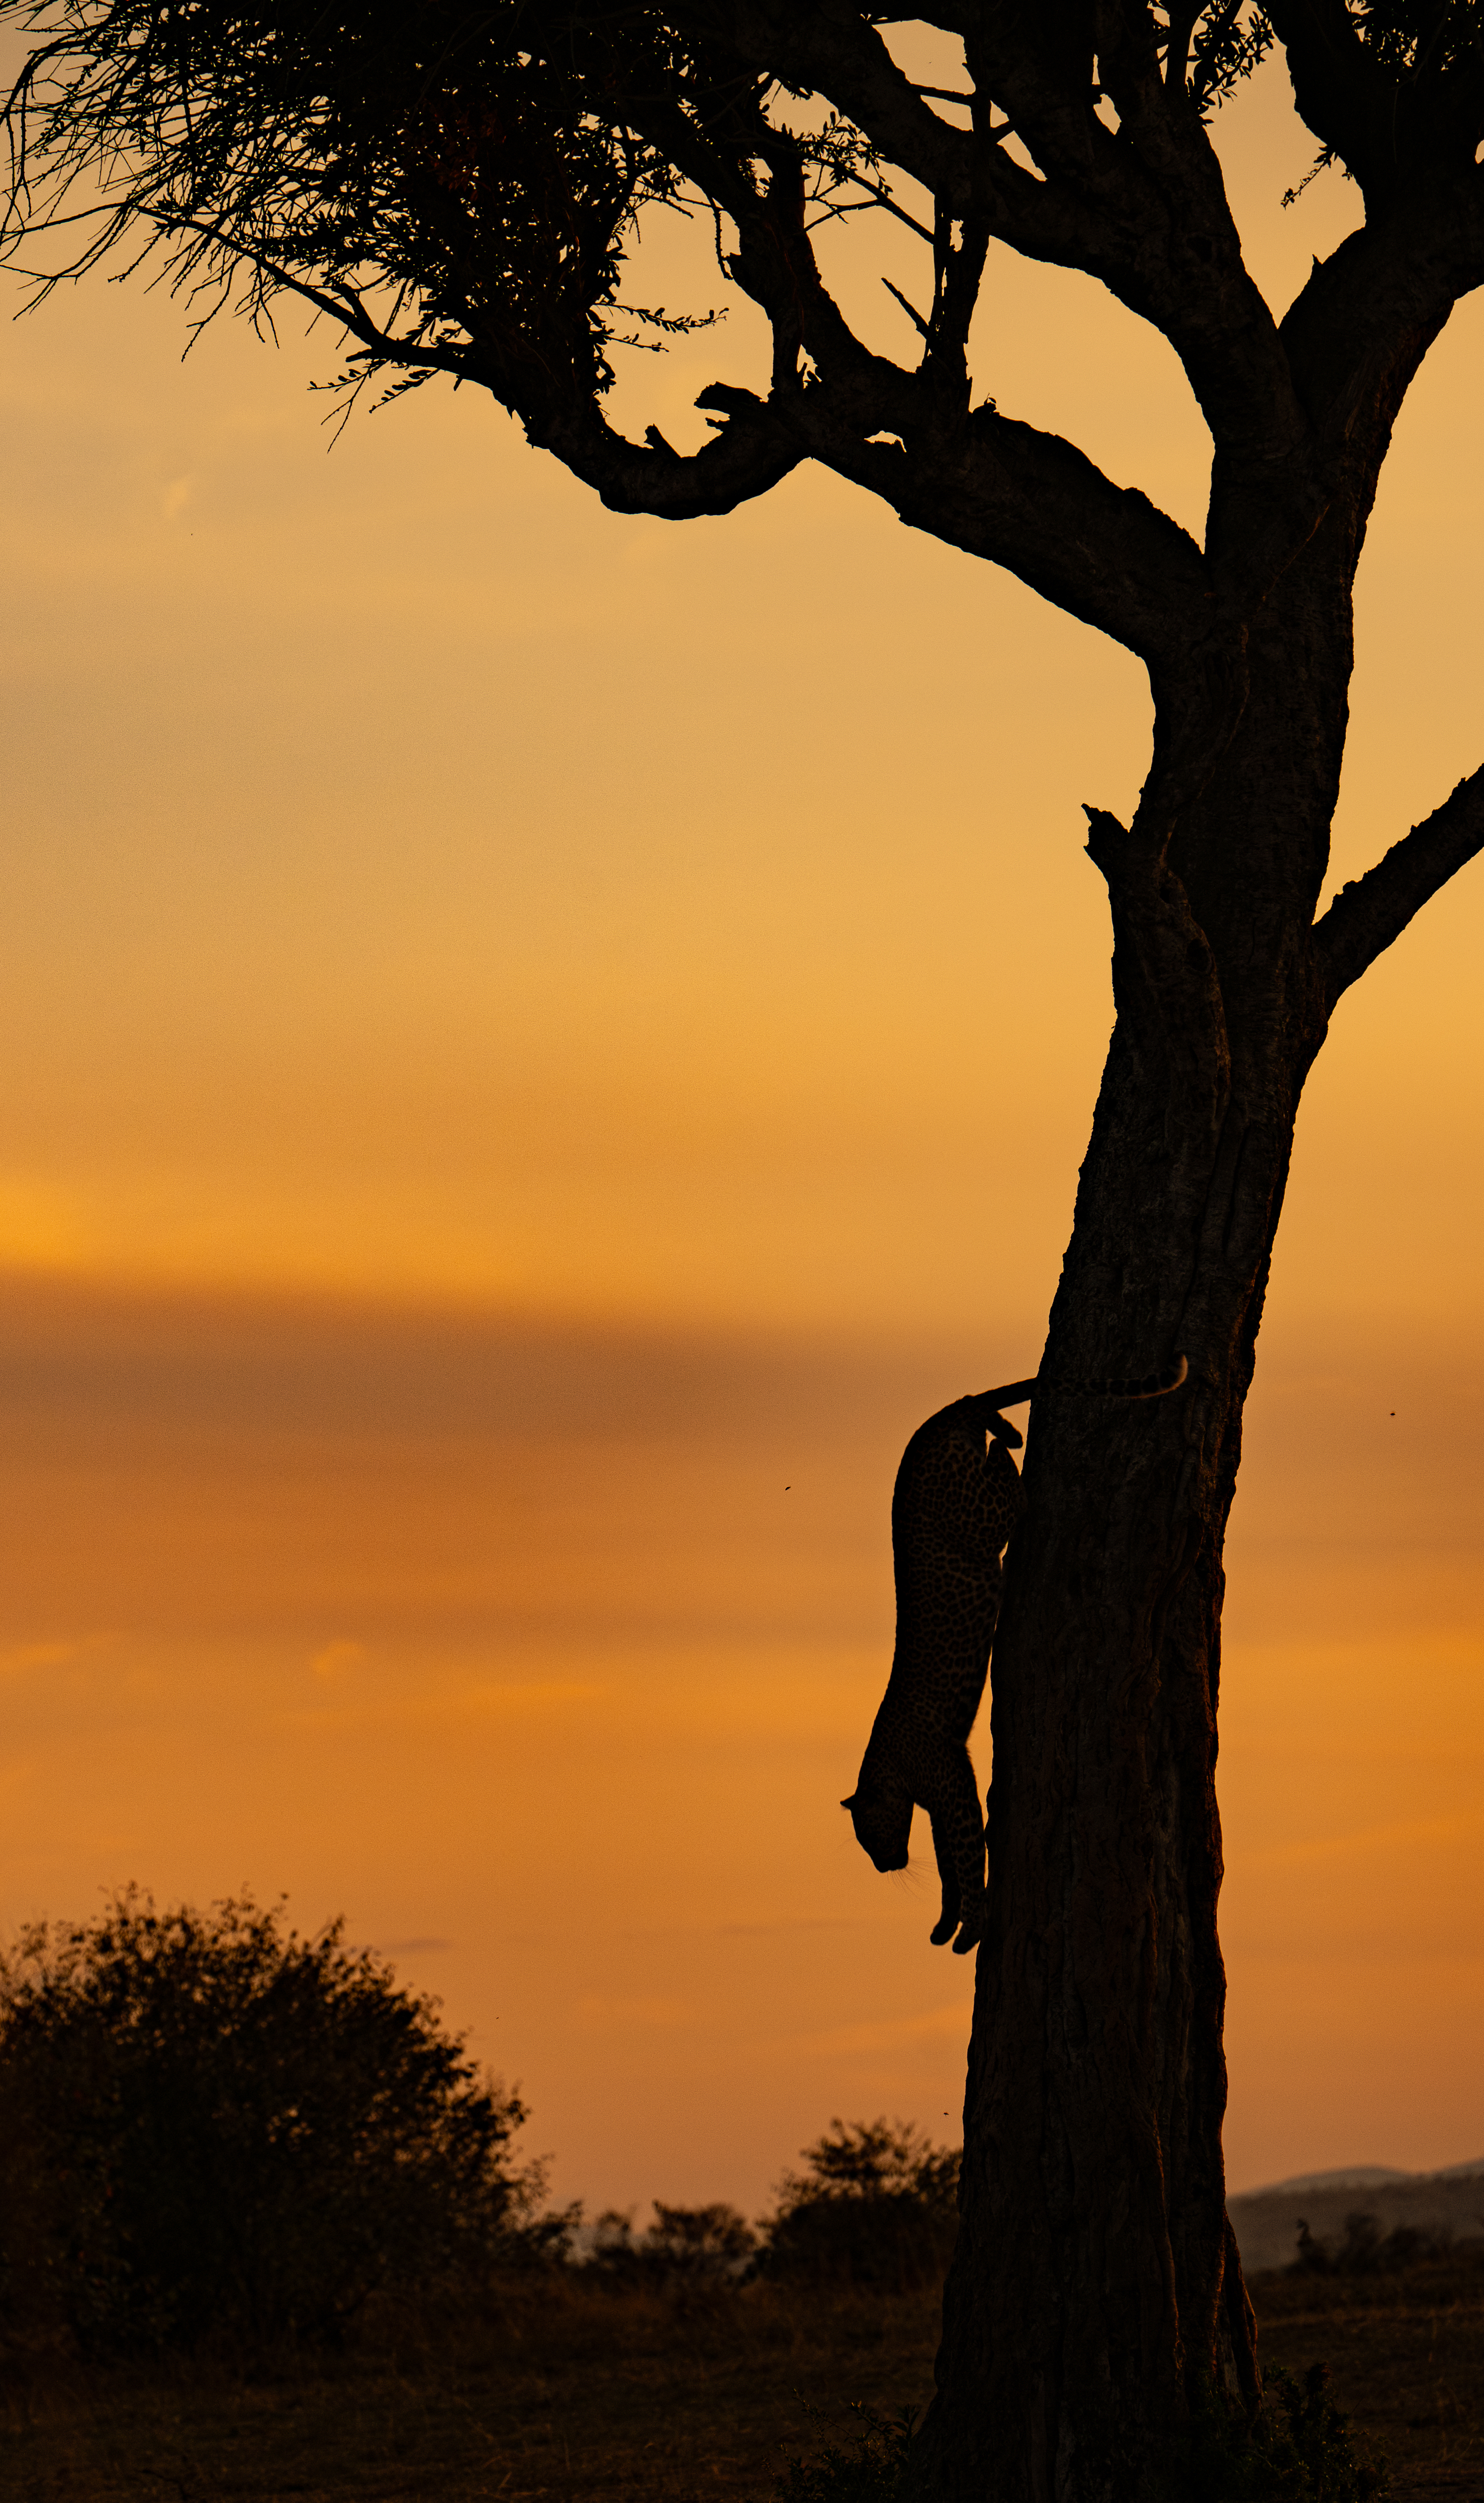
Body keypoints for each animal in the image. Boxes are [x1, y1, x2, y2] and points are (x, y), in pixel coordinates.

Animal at [842, 1357, 1188, 1955]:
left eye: (869, 1835)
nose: (885, 1867)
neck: (891, 1766)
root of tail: (929, 1426)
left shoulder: (952, 1785)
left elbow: (963, 1858)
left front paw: (972, 1927)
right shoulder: (941, 1800)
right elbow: (947, 1866)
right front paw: (947, 1923)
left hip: (974, 1520)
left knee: (1008, 1489)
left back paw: (1006, 1445)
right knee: (989, 1428)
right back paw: (1002, 1429)